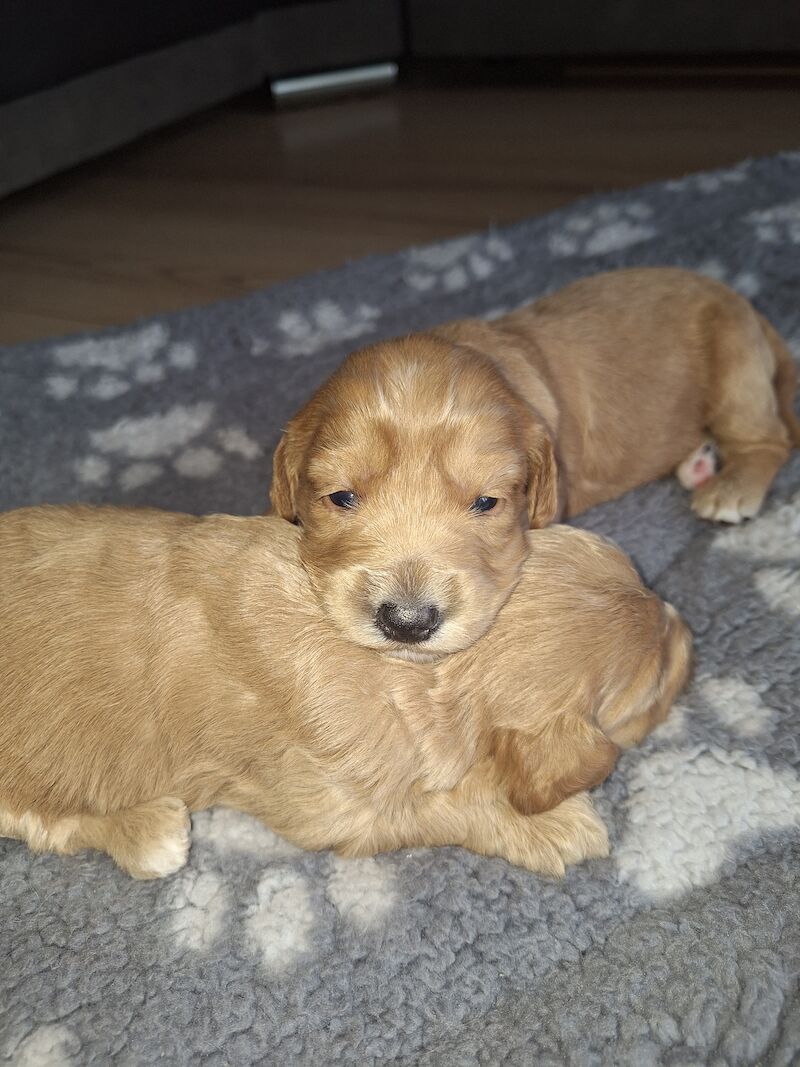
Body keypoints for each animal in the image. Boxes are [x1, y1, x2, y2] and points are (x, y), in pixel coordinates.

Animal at [0, 503, 691, 879]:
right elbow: (445, 807)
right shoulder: (335, 805)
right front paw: (557, 825)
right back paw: (148, 834)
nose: (690, 636)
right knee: (45, 822)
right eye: (652, 687)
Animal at [273, 266, 797, 657]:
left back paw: (729, 487)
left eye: (487, 503)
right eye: (341, 497)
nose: (408, 622)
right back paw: (698, 464)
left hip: (734, 370)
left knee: (770, 439)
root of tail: (742, 303)